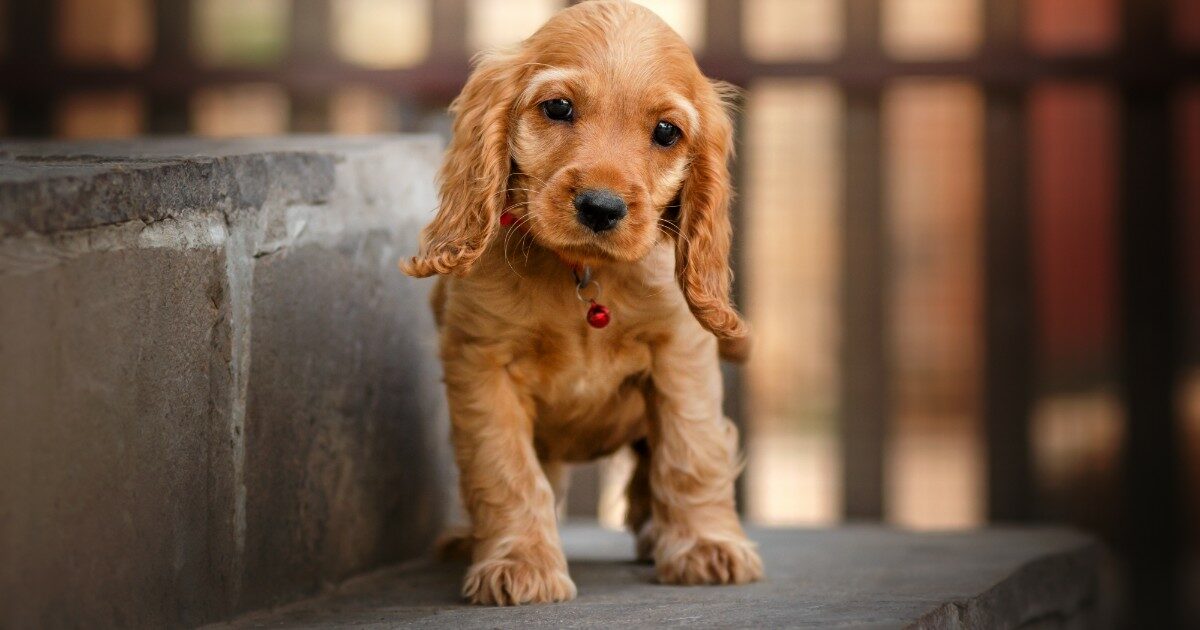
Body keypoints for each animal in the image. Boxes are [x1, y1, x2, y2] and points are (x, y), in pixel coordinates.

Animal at [400, 0, 758, 604]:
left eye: (666, 131)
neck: (581, 275)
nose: (601, 207)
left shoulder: (679, 352)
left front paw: (707, 546)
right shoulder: (482, 362)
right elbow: (504, 470)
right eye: (559, 107)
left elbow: (691, 451)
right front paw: (518, 563)